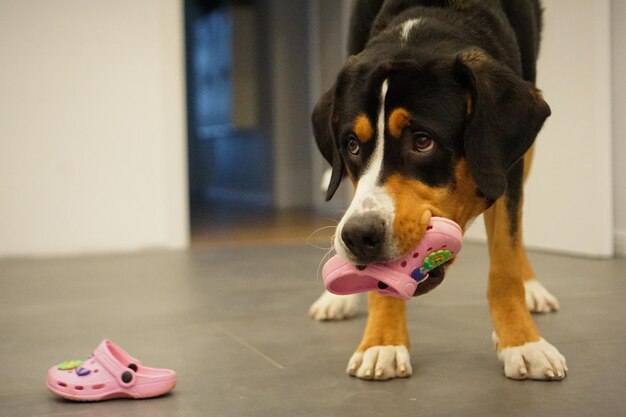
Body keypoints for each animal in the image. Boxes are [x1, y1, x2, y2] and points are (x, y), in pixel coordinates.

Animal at [308, 0, 564, 380]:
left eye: (422, 141)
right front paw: (382, 341)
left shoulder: (505, 168)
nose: (358, 236)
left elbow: (505, 261)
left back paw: (530, 286)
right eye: (352, 145)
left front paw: (522, 342)